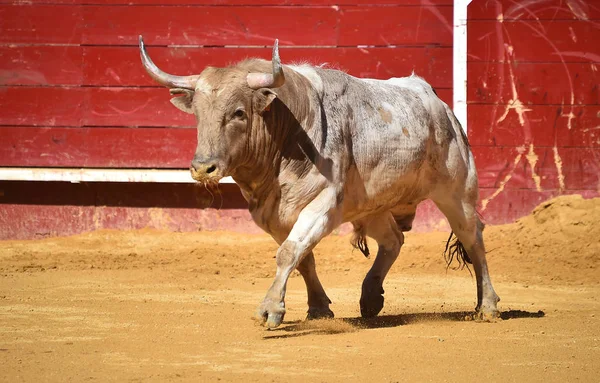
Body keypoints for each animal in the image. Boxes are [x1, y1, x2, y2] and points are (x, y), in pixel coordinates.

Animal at [138, 37, 500, 328]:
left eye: (239, 112)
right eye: (197, 114)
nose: (204, 168)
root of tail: (438, 103)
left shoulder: (323, 205)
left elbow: (289, 252)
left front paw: (270, 309)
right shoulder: (273, 215)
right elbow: (302, 257)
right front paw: (318, 308)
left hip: (457, 191)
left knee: (473, 237)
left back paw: (487, 306)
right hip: (370, 205)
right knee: (393, 240)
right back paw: (371, 297)